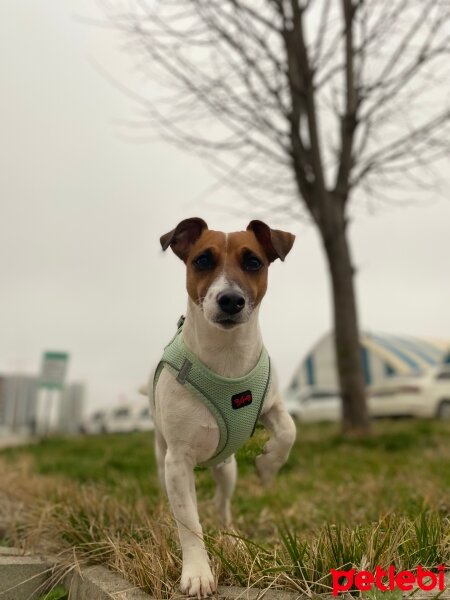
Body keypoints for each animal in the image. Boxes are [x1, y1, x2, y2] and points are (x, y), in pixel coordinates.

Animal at [151, 218, 298, 596]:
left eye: (253, 262)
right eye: (202, 260)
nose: (230, 299)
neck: (226, 356)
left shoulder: (270, 405)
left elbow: (289, 430)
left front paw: (268, 465)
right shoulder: (177, 461)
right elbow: (188, 523)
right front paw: (197, 573)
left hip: (227, 469)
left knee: (221, 505)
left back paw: (231, 537)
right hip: (165, 462)